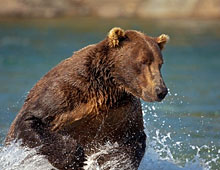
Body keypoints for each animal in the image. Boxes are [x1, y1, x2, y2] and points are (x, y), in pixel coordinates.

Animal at [6, 27, 169, 169]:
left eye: (160, 63)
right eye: (143, 61)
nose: (161, 91)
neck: (108, 86)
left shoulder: (123, 112)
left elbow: (133, 138)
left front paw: (112, 160)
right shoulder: (65, 93)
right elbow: (30, 120)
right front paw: (77, 158)